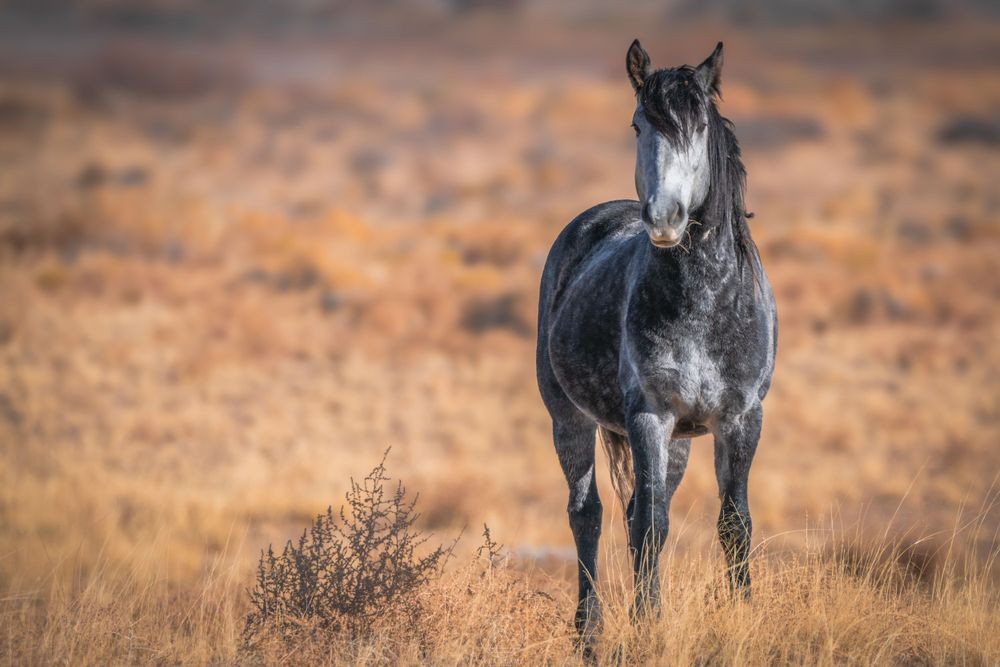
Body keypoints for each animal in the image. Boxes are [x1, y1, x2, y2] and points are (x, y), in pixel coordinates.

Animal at [535, 40, 777, 644]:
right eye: (637, 124)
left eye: (701, 125)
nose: (665, 218)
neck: (705, 302)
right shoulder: (648, 415)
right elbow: (649, 525)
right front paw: (649, 625)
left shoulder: (741, 418)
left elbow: (733, 523)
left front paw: (744, 615)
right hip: (568, 419)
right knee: (588, 515)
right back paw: (588, 631)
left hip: (681, 442)